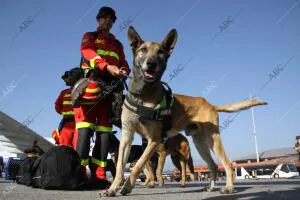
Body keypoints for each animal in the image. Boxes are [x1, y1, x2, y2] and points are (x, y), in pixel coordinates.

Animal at [101, 25, 268, 196]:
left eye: (161, 52)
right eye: (143, 49)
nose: (151, 63)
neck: (142, 94)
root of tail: (211, 105)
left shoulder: (154, 140)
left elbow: (138, 165)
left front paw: (128, 186)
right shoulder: (127, 136)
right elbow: (120, 168)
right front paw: (113, 188)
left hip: (212, 141)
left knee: (228, 163)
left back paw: (228, 187)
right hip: (200, 143)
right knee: (213, 165)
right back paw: (210, 187)